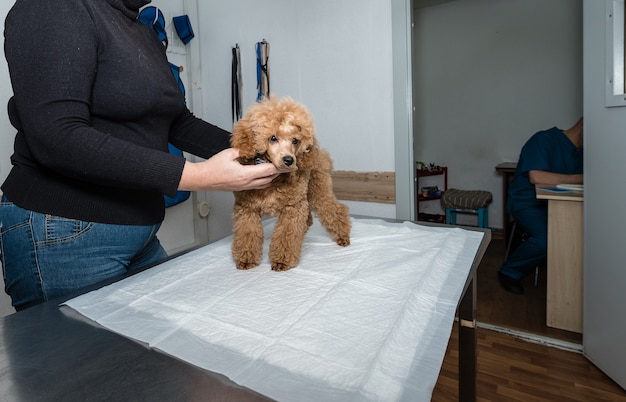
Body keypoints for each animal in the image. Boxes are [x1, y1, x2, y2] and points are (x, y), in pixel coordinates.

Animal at [230, 96, 352, 272]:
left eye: (295, 140)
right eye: (273, 138)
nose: (289, 160)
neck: (274, 180)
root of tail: (319, 152)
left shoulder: (291, 209)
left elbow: (286, 236)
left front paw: (282, 261)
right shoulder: (247, 209)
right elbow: (247, 234)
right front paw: (246, 259)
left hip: (317, 189)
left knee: (333, 209)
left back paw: (343, 236)